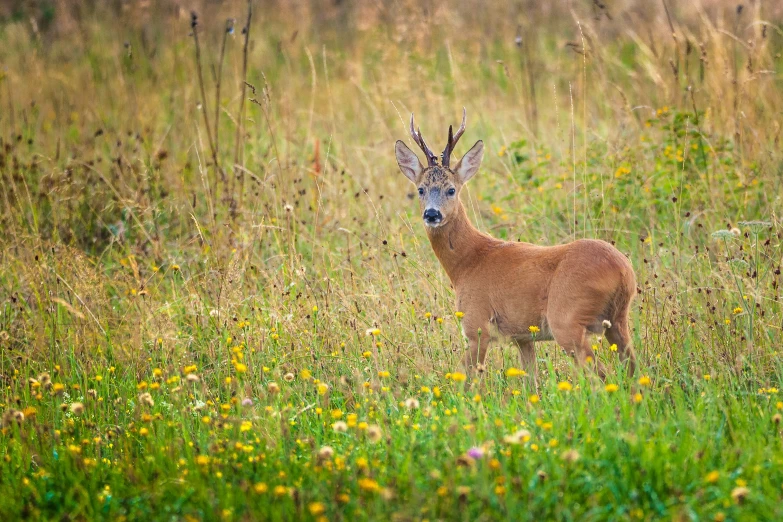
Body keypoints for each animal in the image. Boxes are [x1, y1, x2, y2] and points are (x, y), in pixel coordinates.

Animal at [396, 108, 640, 386]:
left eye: (451, 189)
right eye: (420, 189)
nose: (432, 214)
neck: (467, 263)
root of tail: (623, 271)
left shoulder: (476, 324)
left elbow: (467, 381)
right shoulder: (523, 336)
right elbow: (531, 381)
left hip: (567, 320)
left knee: (601, 375)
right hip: (618, 320)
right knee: (634, 369)